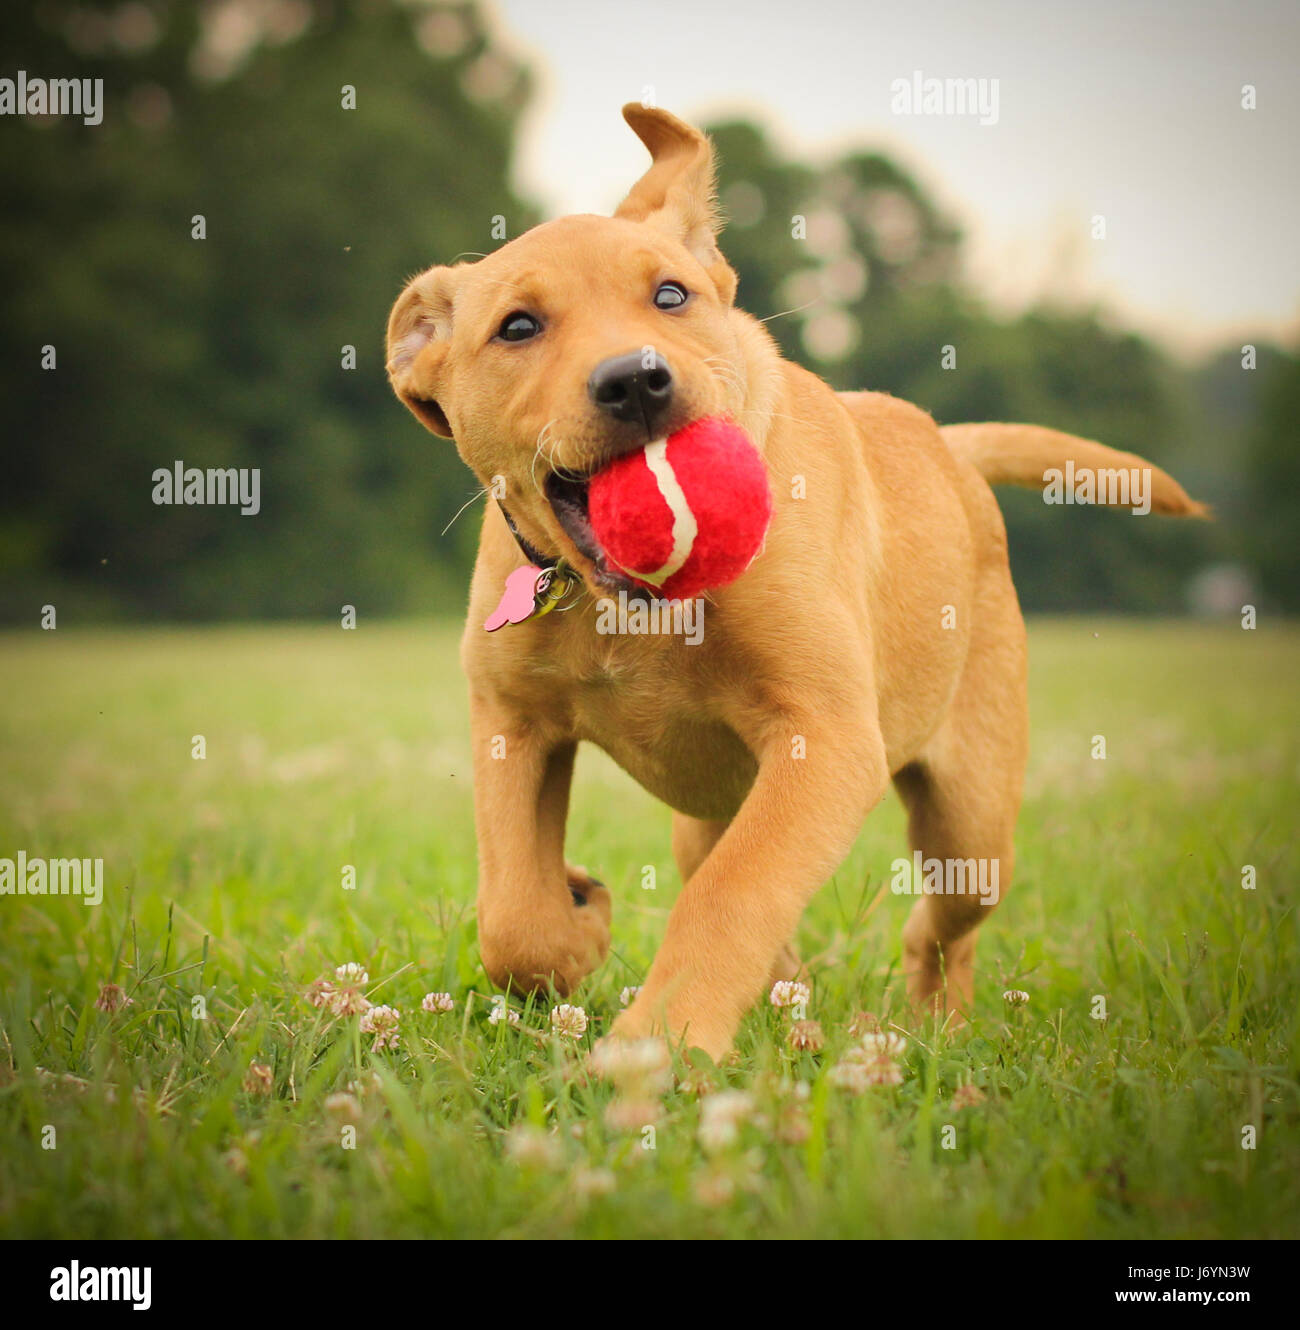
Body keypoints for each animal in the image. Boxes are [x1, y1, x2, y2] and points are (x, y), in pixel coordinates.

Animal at [385, 103, 1208, 1058]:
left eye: (672, 296)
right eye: (517, 328)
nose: (636, 380)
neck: (630, 614)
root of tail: (949, 444)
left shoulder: (827, 736)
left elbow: (733, 896)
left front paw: (658, 1048)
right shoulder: (510, 721)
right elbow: (512, 916)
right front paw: (577, 925)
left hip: (972, 817)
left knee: (942, 922)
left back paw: (930, 1023)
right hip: (705, 814)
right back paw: (793, 1003)